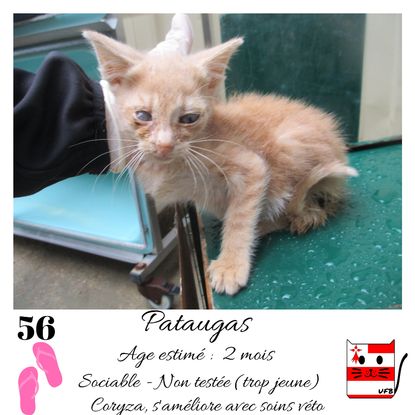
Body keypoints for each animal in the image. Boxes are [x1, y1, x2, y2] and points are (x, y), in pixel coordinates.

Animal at [84, 31, 357, 295]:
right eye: (143, 116)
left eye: (189, 118)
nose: (164, 145)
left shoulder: (253, 166)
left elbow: (240, 216)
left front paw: (231, 265)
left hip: (289, 149)